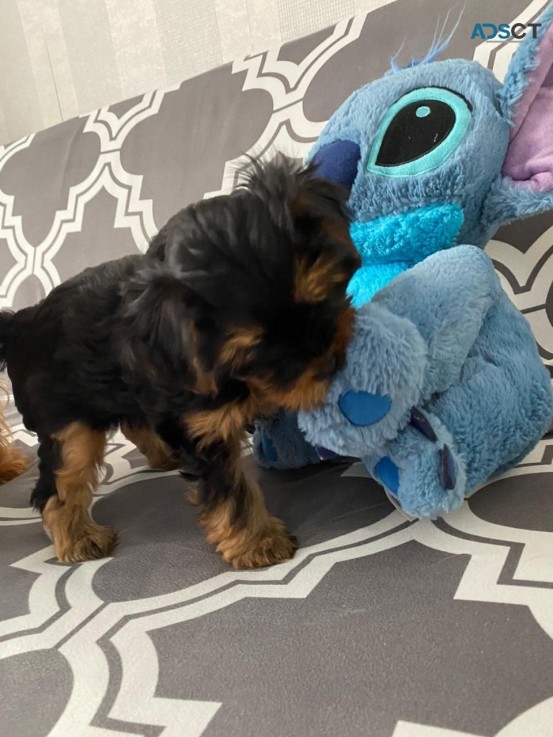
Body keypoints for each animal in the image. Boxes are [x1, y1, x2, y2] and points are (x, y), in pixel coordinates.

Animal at [0, 155, 358, 568]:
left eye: (319, 299)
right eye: (258, 351)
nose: (329, 362)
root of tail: (20, 322)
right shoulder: (203, 429)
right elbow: (231, 490)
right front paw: (259, 543)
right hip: (67, 423)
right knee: (59, 483)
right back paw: (78, 539)